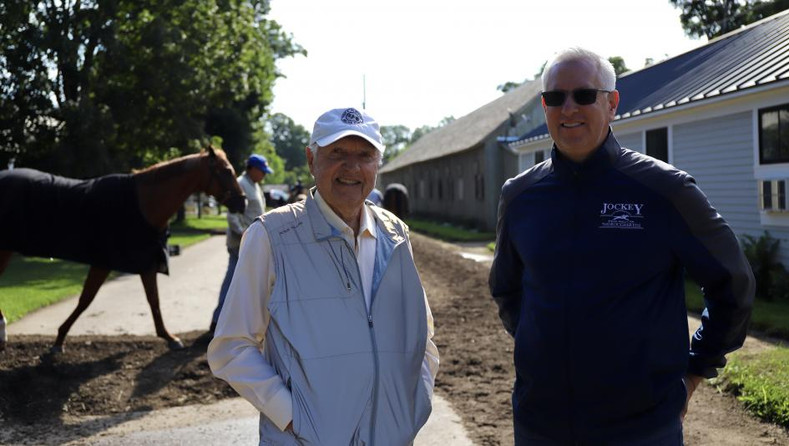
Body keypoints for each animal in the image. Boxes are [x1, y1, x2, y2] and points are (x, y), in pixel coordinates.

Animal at [0, 146, 245, 352]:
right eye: (226, 171)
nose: (242, 202)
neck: (144, 203)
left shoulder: (145, 263)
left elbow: (153, 300)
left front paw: (168, 337)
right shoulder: (105, 262)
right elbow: (86, 300)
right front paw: (59, 339)